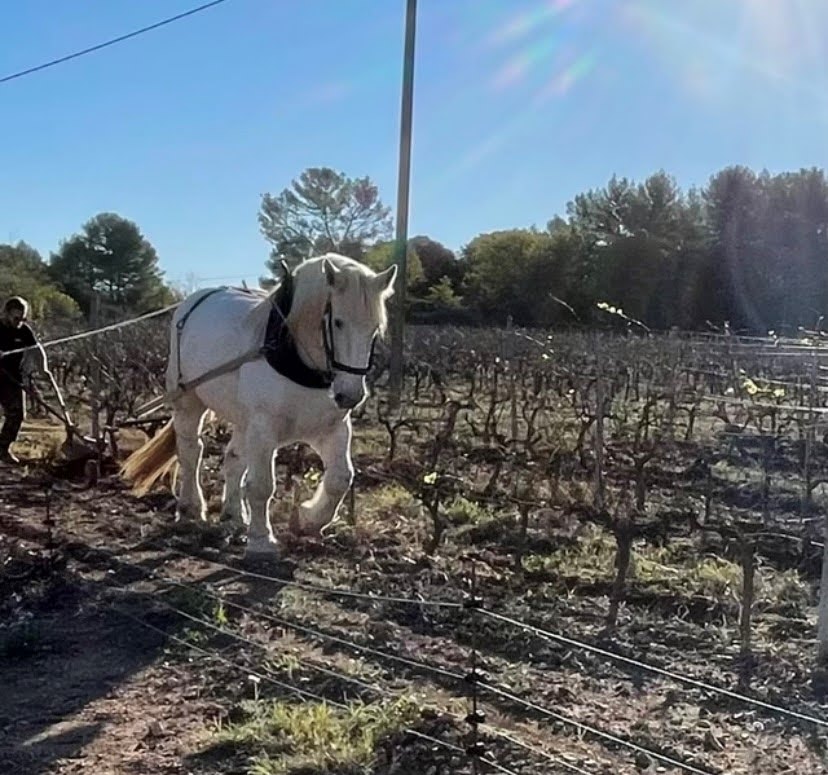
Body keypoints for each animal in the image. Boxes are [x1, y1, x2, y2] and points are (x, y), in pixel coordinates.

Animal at [119, 255, 398, 556]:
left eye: (375, 329)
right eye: (338, 322)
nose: (351, 395)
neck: (295, 358)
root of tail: (194, 301)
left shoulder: (332, 429)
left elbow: (340, 479)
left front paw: (307, 520)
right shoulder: (264, 429)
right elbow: (262, 485)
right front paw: (262, 539)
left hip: (243, 420)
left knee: (233, 458)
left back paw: (234, 514)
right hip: (188, 401)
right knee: (191, 451)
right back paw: (191, 508)